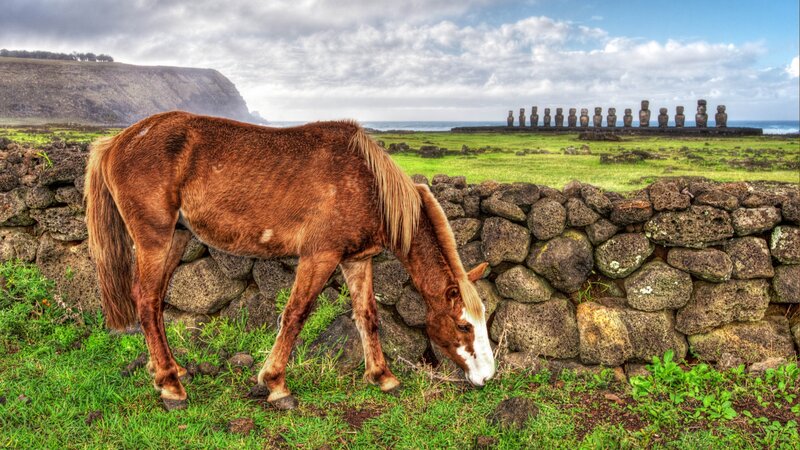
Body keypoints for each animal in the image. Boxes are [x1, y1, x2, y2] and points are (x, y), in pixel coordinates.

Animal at [84, 111, 495, 410]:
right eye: (463, 326)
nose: (488, 377)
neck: (367, 183)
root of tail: (118, 140)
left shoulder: (357, 261)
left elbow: (368, 317)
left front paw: (382, 376)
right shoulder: (320, 256)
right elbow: (296, 314)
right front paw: (275, 384)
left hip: (177, 237)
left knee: (153, 305)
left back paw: (170, 371)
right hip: (154, 240)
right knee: (147, 302)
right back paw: (171, 387)